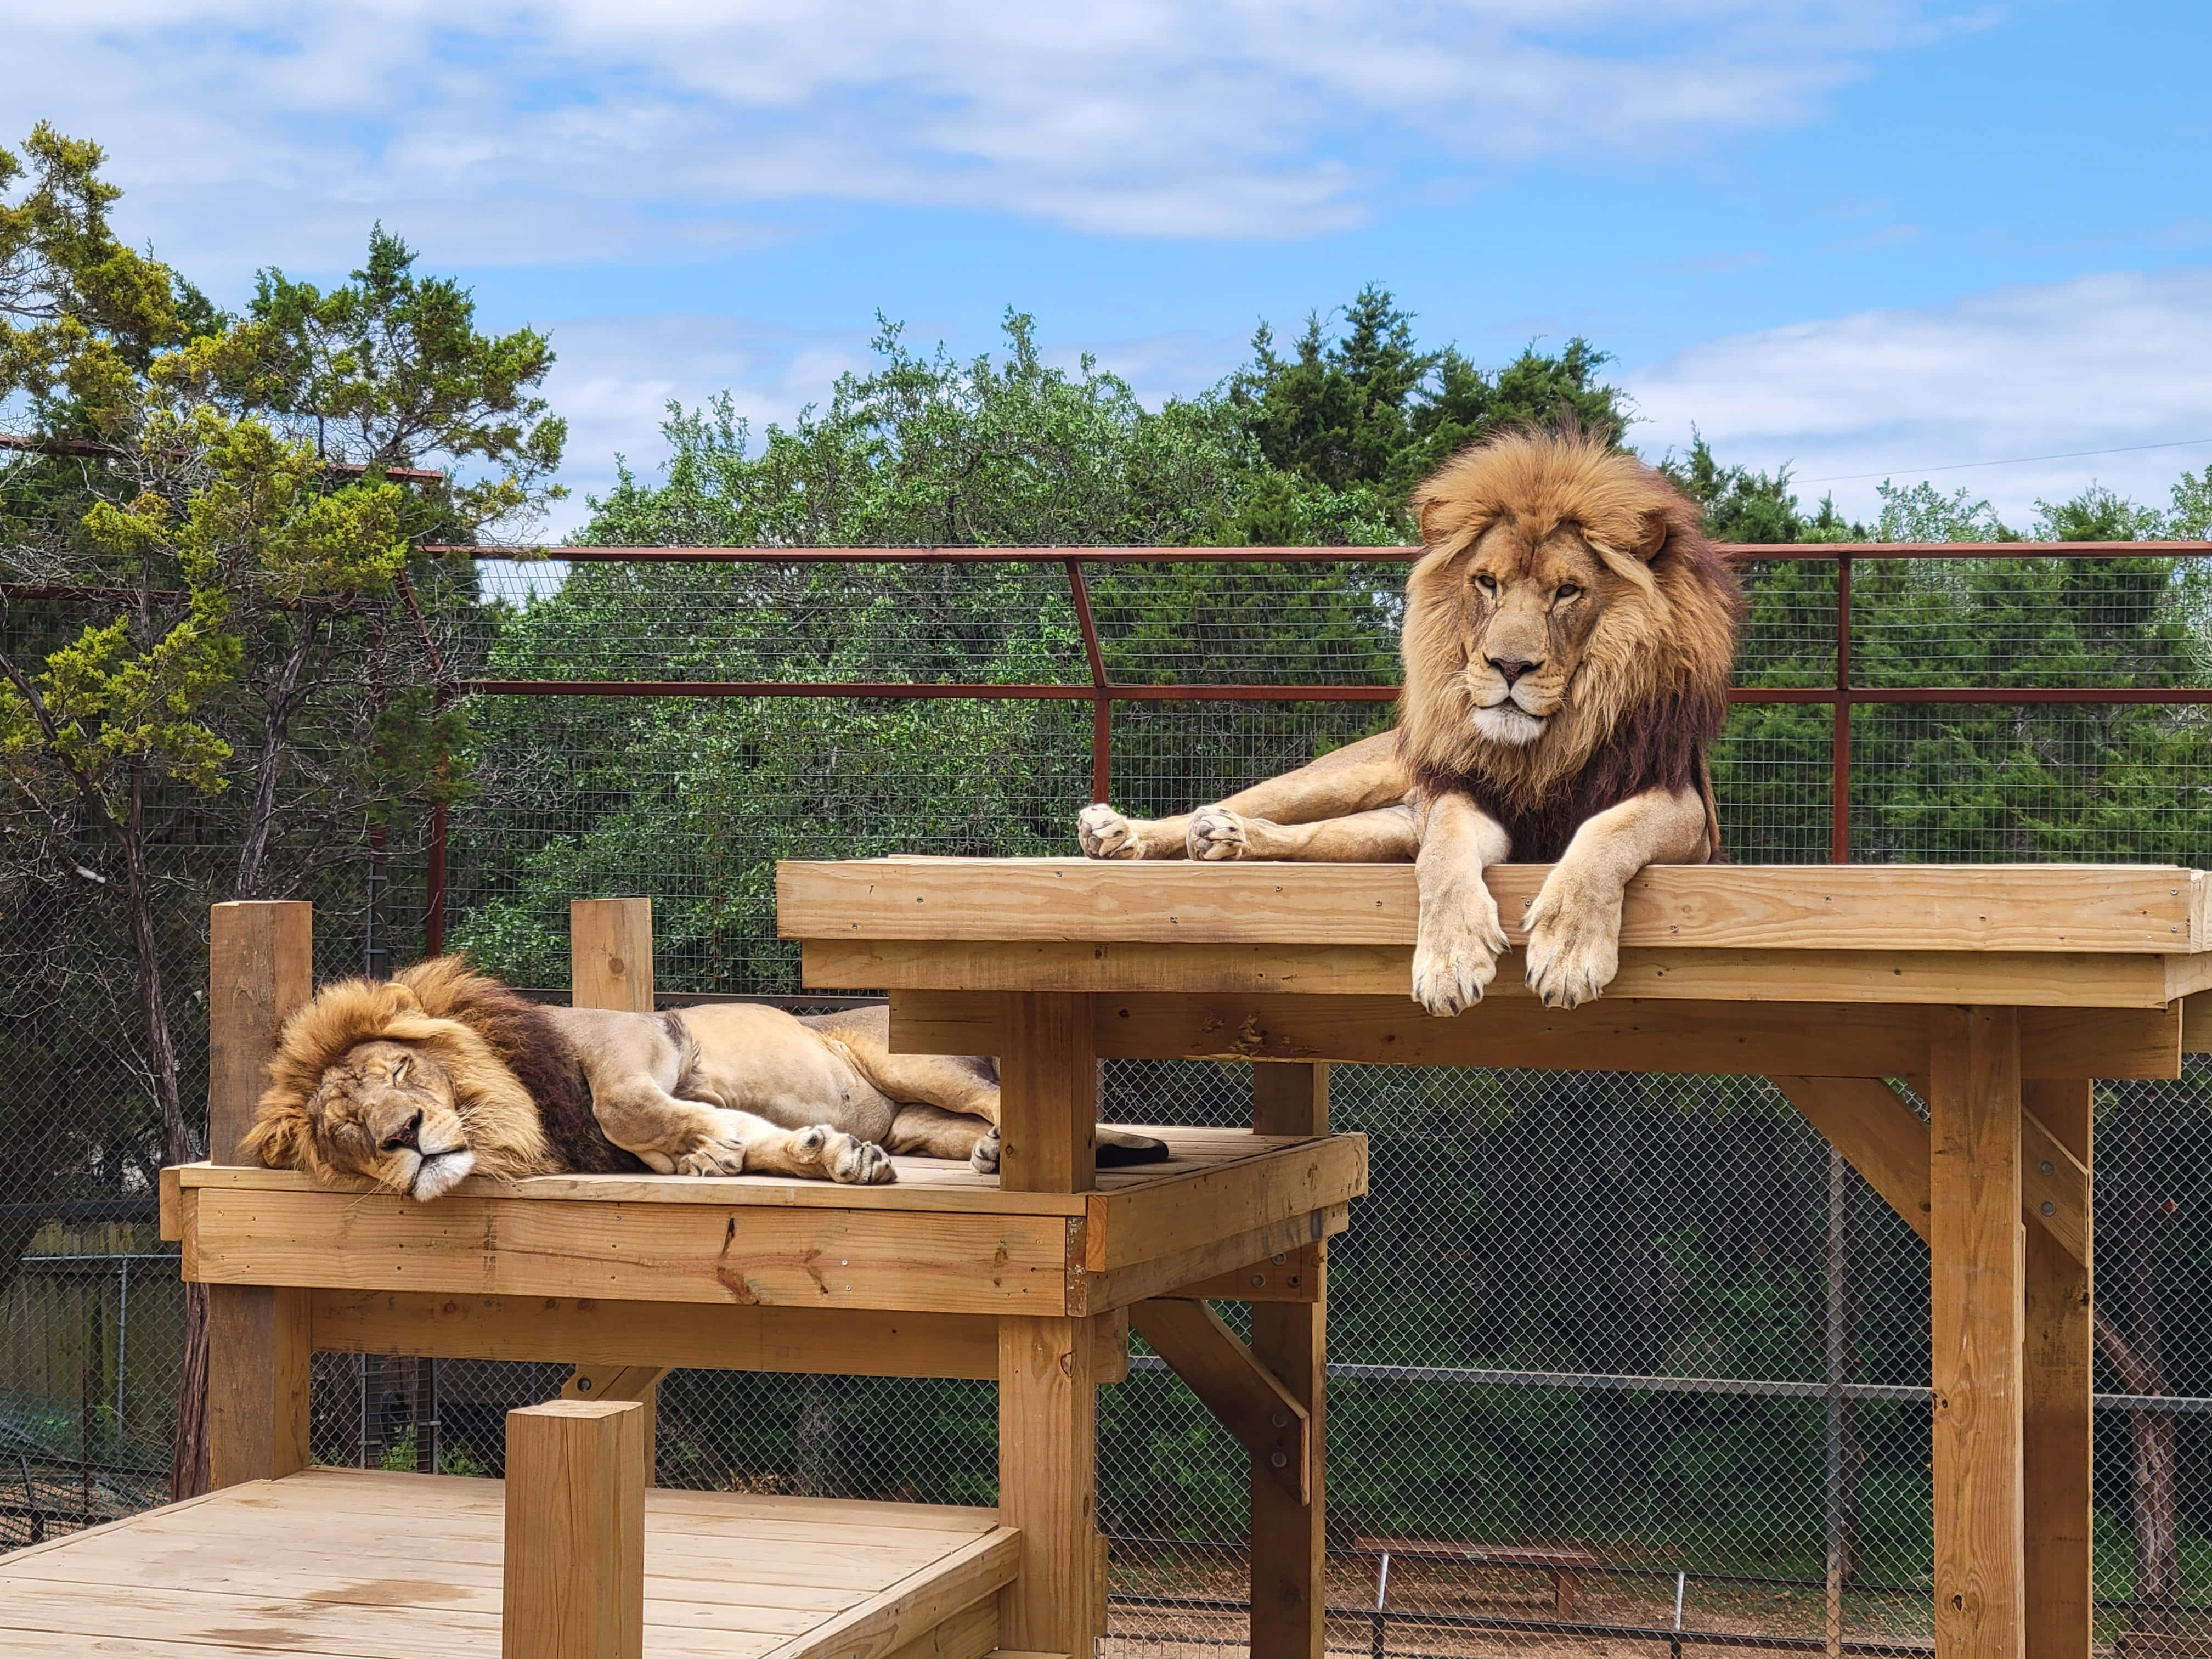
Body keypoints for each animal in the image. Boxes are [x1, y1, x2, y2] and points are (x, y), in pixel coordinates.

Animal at [243, 956, 1168, 1200]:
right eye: (346, 1131)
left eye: (400, 1068)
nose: (402, 1135)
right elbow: (756, 1138)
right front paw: (830, 1156)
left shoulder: (642, 1039)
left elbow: (624, 1105)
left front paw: (710, 1148)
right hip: (917, 1119)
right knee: (966, 1124)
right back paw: (989, 1155)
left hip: (913, 1058)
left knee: (1008, 1098)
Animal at [1077, 430, 1743, 1013]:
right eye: (1487, 584)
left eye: (1567, 592)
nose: (1509, 665)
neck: (1543, 749)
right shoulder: (1464, 795)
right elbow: (1443, 857)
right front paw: (1449, 961)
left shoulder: (1688, 816)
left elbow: (1608, 834)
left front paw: (1568, 951)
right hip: (1349, 778)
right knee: (1252, 804)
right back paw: (1121, 833)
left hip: (1387, 827)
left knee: (1314, 837)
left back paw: (1228, 838)